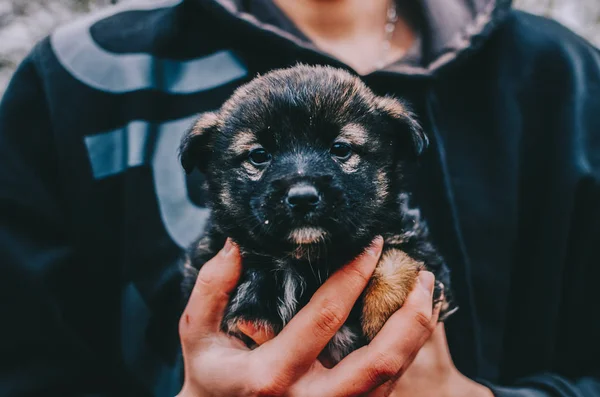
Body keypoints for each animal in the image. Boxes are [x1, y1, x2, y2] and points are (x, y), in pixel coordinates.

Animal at [178, 64, 454, 362]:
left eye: (340, 149)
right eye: (259, 155)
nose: (302, 198)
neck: (304, 260)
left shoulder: (416, 246)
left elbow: (397, 258)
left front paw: (381, 315)